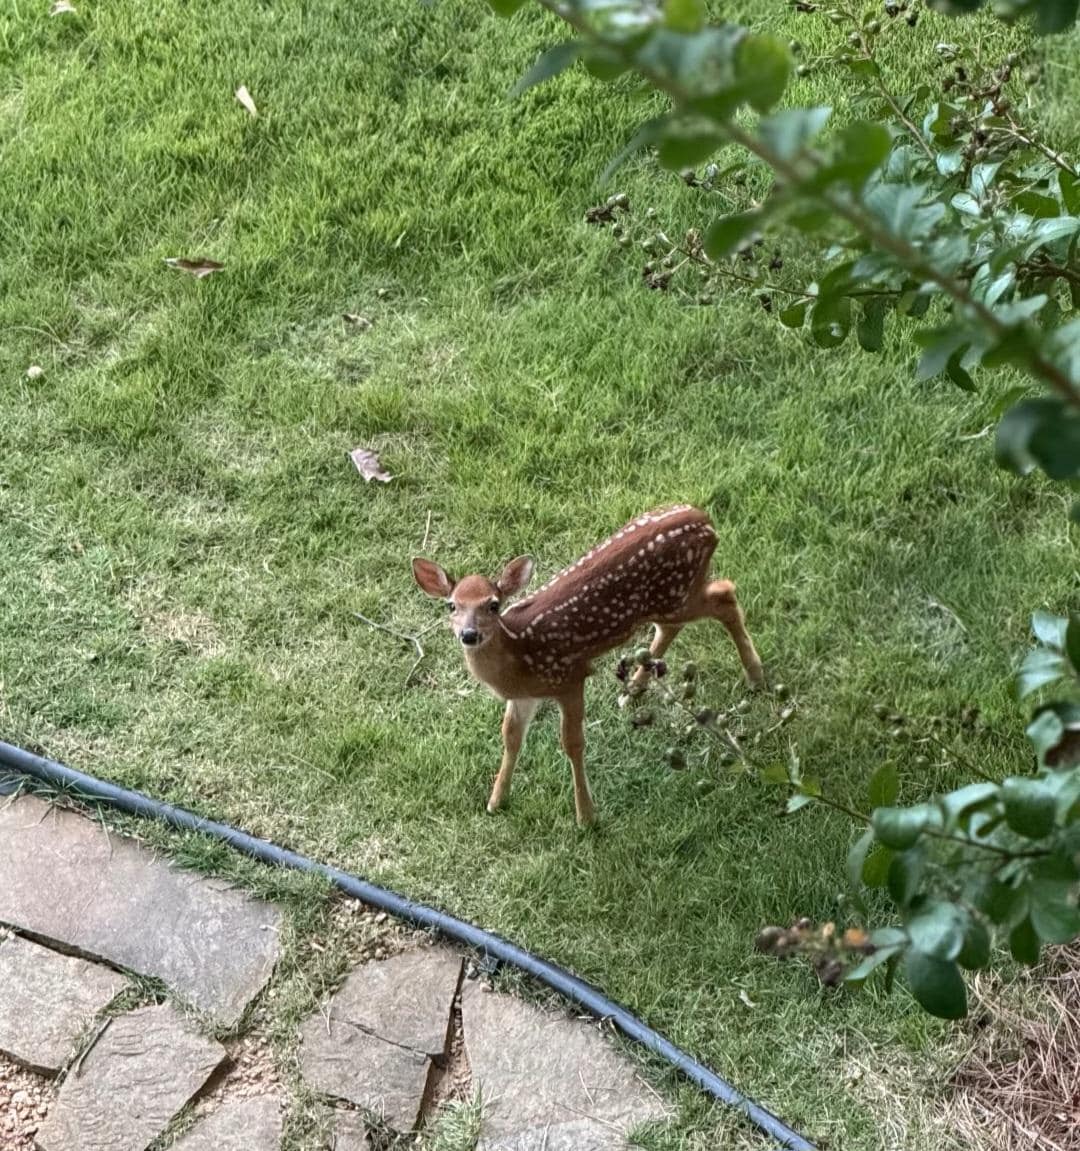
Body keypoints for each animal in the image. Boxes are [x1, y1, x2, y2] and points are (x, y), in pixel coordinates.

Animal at [412, 505, 764, 827]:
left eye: (493, 605)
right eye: (452, 605)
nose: (469, 634)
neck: (520, 654)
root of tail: (705, 520)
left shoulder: (570, 677)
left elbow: (572, 743)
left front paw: (586, 817)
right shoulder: (524, 696)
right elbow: (511, 737)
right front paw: (496, 800)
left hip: (678, 595)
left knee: (725, 594)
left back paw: (755, 676)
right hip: (669, 601)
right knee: (676, 623)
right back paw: (633, 690)